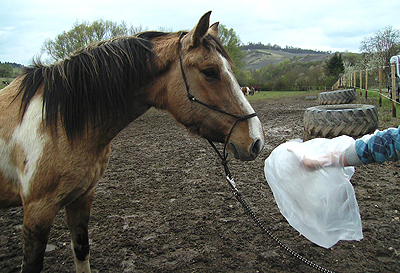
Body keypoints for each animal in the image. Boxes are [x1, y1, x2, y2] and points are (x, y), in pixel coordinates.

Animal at [0, 11, 266, 272]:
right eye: (210, 71)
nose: (256, 140)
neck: (59, 122)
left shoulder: (82, 197)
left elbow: (82, 250)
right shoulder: (37, 211)